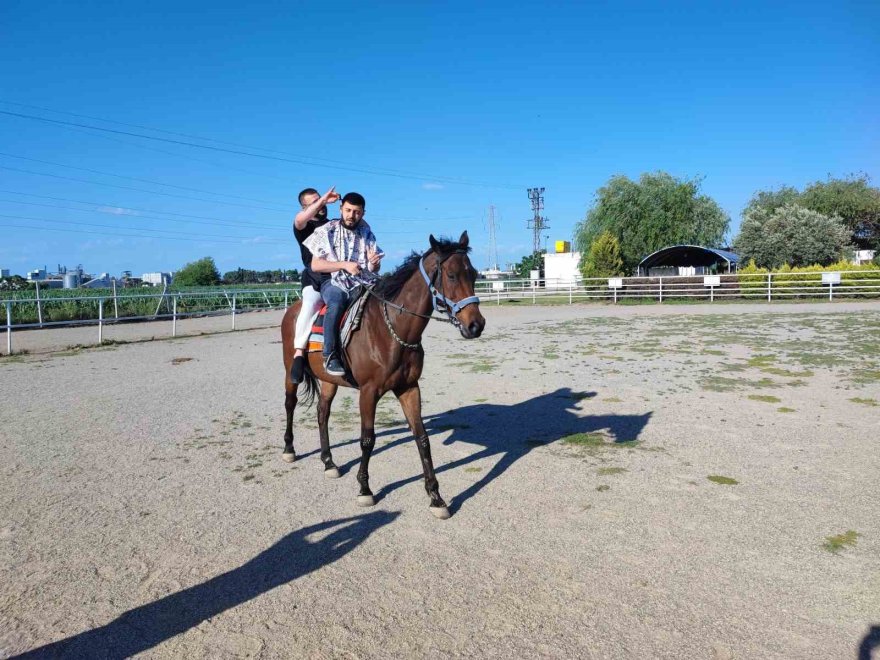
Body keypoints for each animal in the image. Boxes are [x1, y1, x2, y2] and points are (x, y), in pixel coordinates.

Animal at [280, 235, 484, 520]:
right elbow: (367, 440)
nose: (476, 325)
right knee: (290, 404)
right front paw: (365, 489)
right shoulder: (369, 392)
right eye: (452, 275)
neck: (392, 330)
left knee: (322, 413)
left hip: (329, 380)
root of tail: (293, 310)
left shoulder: (409, 388)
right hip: (290, 370)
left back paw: (329, 462)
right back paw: (289, 450)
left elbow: (422, 439)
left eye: (474, 274)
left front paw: (436, 497)